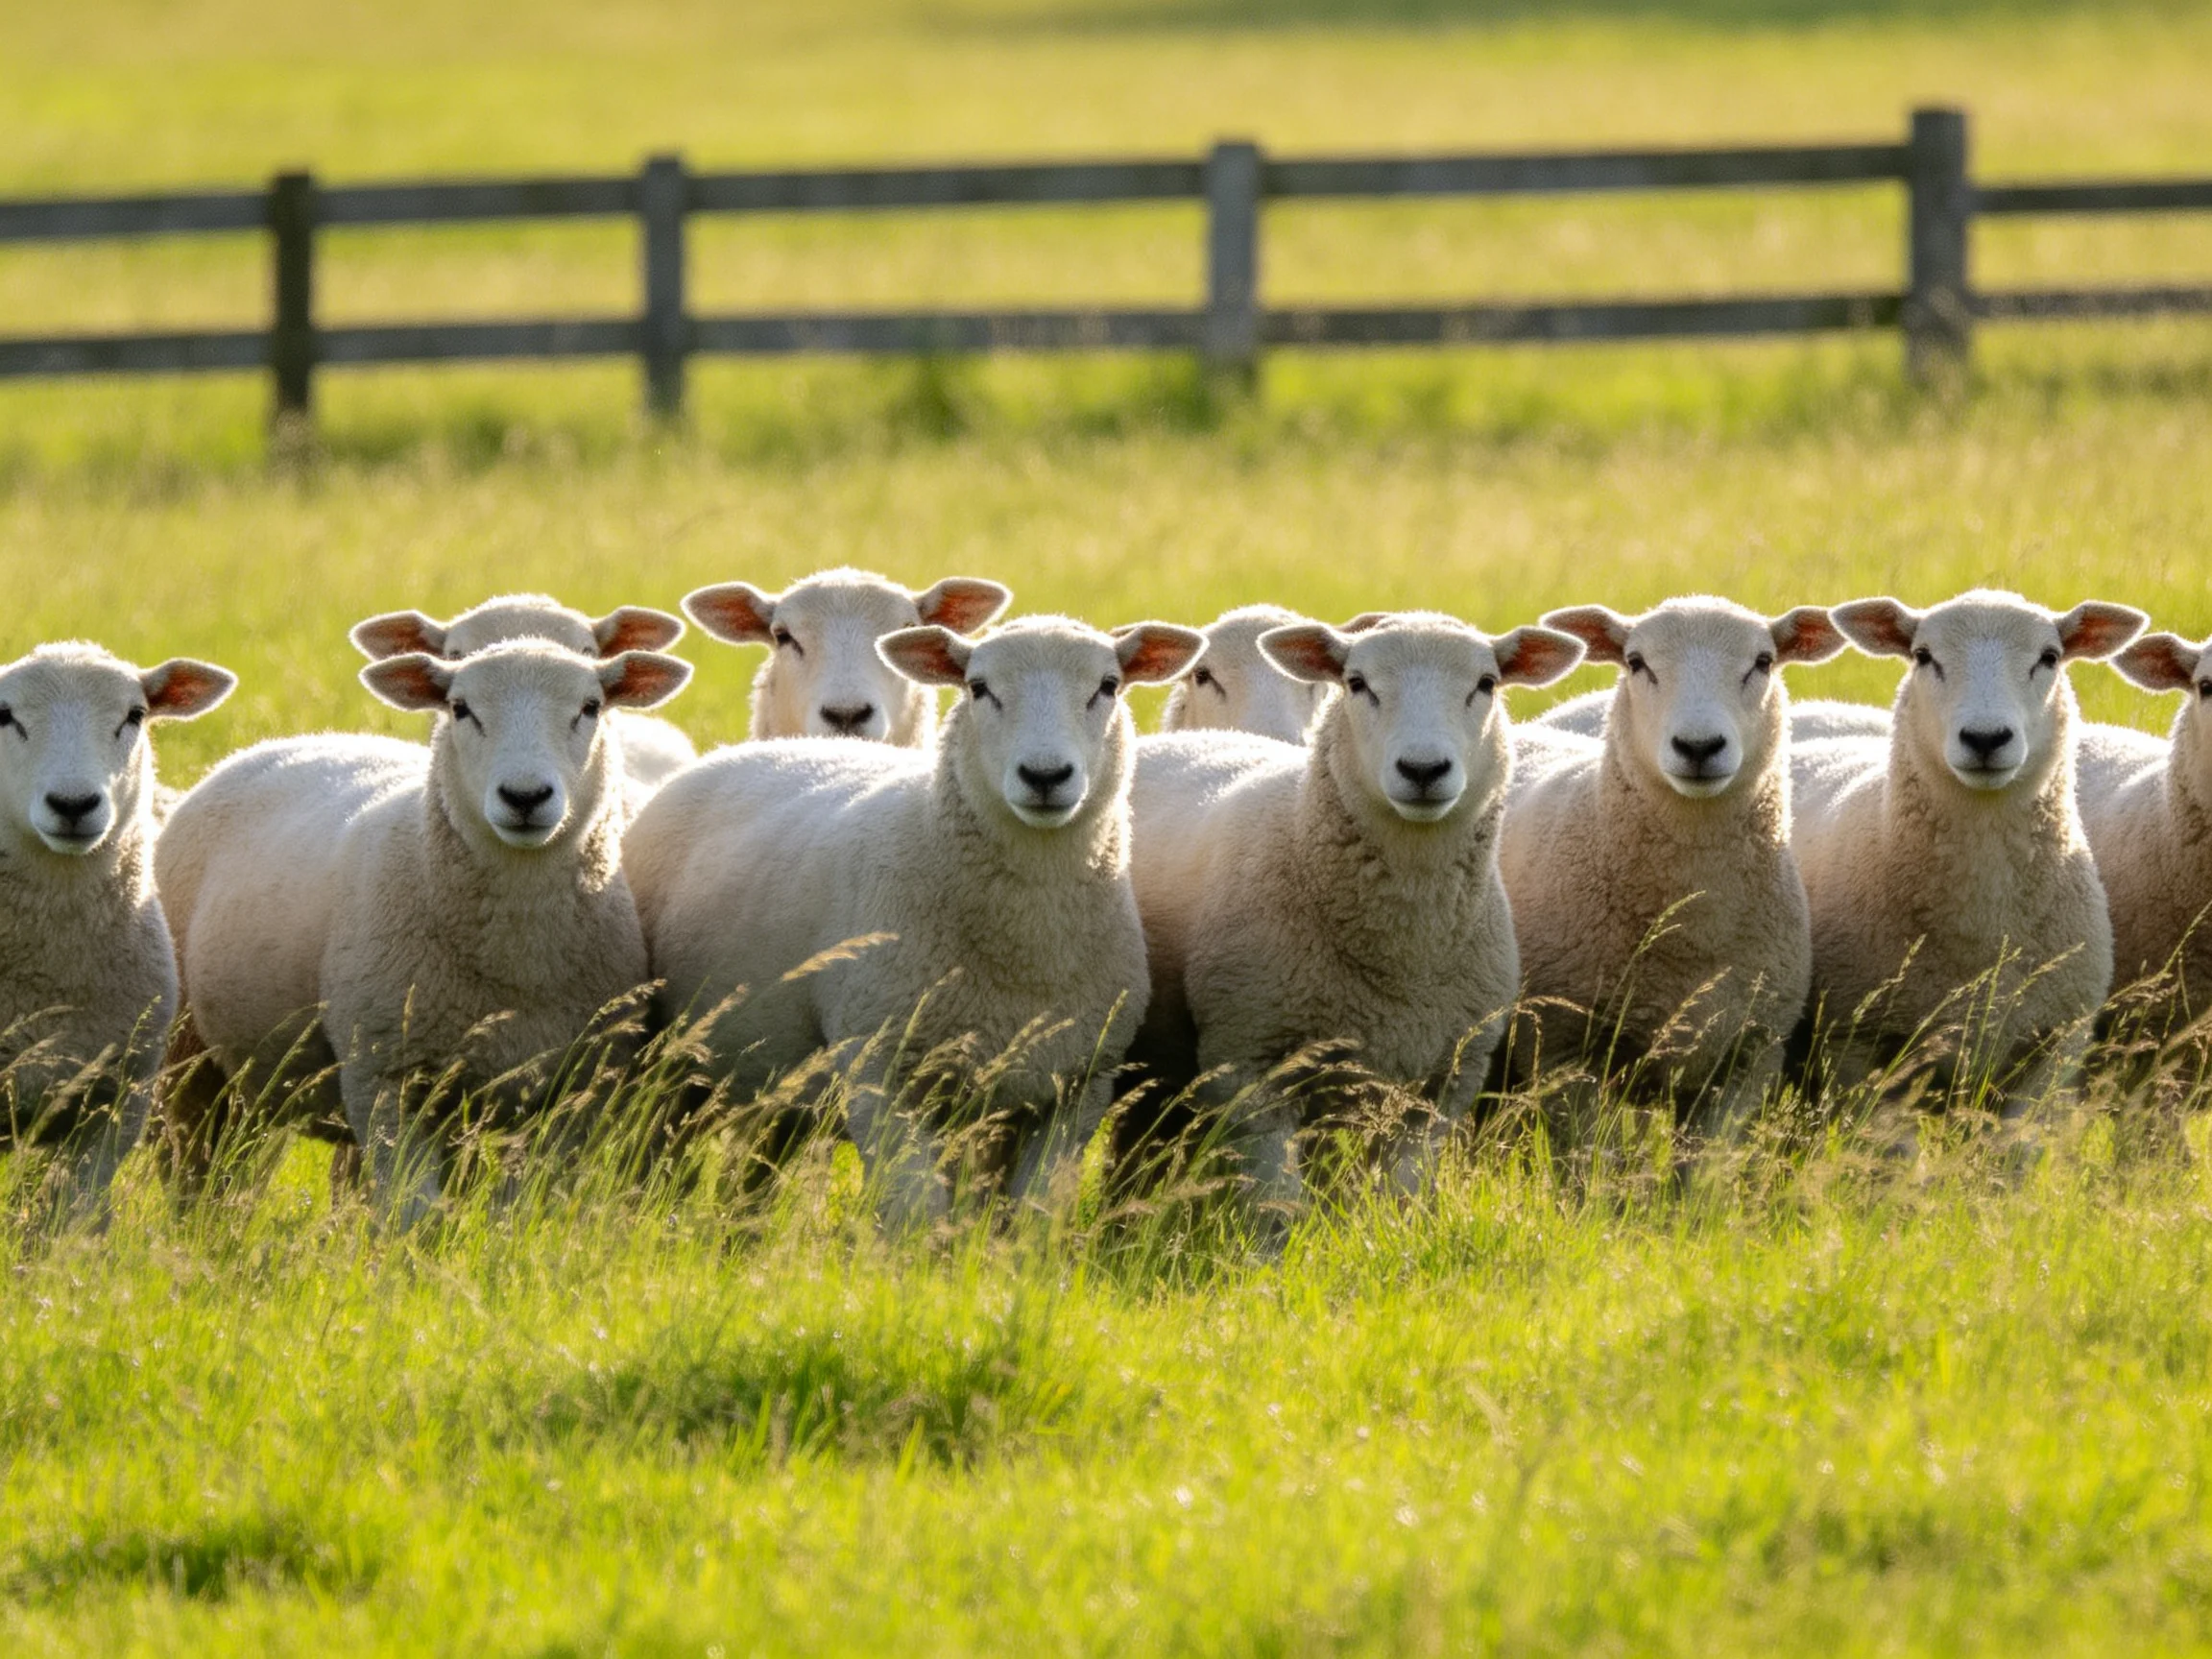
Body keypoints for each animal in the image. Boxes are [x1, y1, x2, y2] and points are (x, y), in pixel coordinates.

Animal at [156, 640, 691, 1220]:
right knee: (192, 1172)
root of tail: (279, 744)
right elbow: (414, 1214)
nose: (525, 796)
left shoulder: (579, 1088)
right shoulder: (384, 1078)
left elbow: (523, 1211)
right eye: (460, 708)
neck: (516, 960)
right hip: (189, 1059)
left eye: (590, 707)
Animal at [622, 615, 1204, 1227]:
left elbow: (1031, 1216)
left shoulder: (1078, 1085)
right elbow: (916, 1213)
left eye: (1108, 686)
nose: (1045, 775)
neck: (1023, 952)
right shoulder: (878, 1069)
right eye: (978, 688)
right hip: (671, 1064)